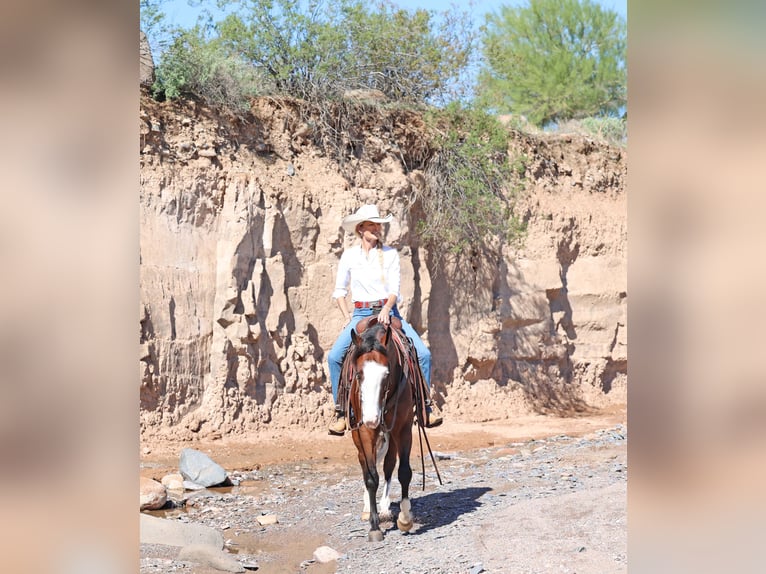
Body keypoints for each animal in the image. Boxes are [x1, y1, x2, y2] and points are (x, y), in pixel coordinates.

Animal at [347, 317, 415, 542]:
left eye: (386, 373)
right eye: (359, 374)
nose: (371, 418)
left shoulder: (403, 428)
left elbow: (404, 471)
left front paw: (405, 518)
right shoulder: (365, 433)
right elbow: (371, 477)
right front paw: (374, 526)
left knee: (388, 464)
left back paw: (385, 506)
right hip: (360, 435)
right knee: (365, 463)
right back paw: (370, 508)